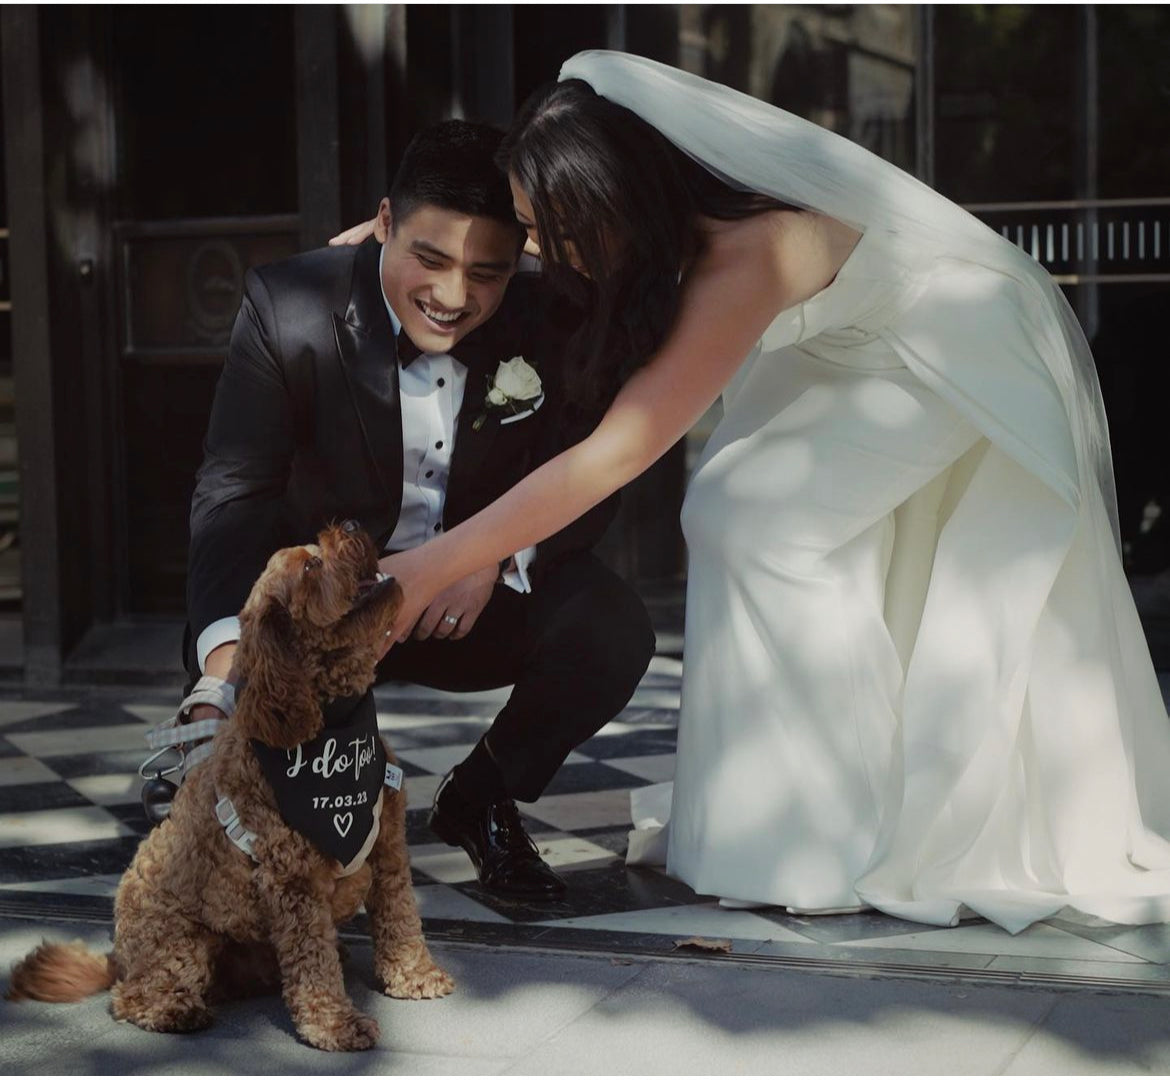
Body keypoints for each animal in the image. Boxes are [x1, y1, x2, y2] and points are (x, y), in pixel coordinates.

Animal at [6, 521, 453, 1048]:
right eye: (311, 565)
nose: (351, 524)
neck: (332, 722)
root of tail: (119, 957)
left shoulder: (388, 849)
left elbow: (400, 917)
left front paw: (414, 975)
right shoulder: (293, 883)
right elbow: (314, 965)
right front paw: (334, 1024)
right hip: (181, 944)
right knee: (132, 996)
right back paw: (173, 1009)